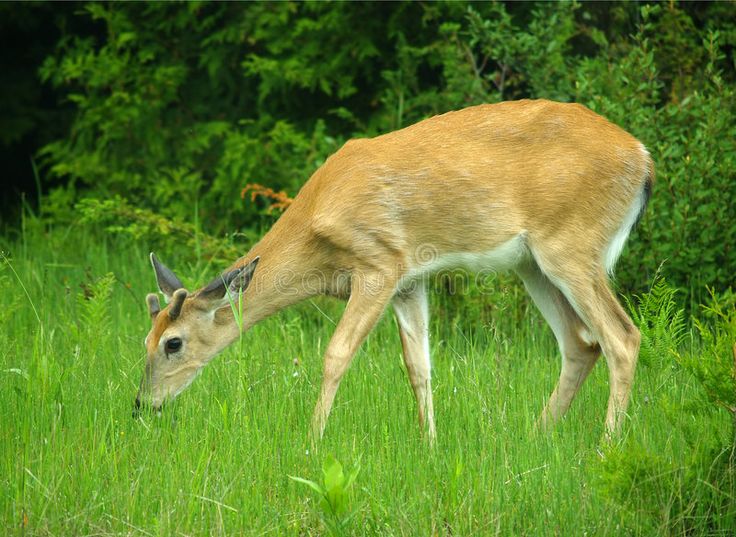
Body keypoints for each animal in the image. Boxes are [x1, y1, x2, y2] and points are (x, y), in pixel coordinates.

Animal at [135, 98, 652, 442]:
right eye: (145, 340)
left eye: (173, 343)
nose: (141, 405)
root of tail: (643, 159)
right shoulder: (410, 281)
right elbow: (418, 365)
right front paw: (431, 444)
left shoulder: (380, 264)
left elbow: (336, 352)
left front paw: (312, 440)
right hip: (532, 264)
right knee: (580, 343)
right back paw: (535, 435)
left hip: (571, 245)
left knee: (621, 336)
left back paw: (607, 446)